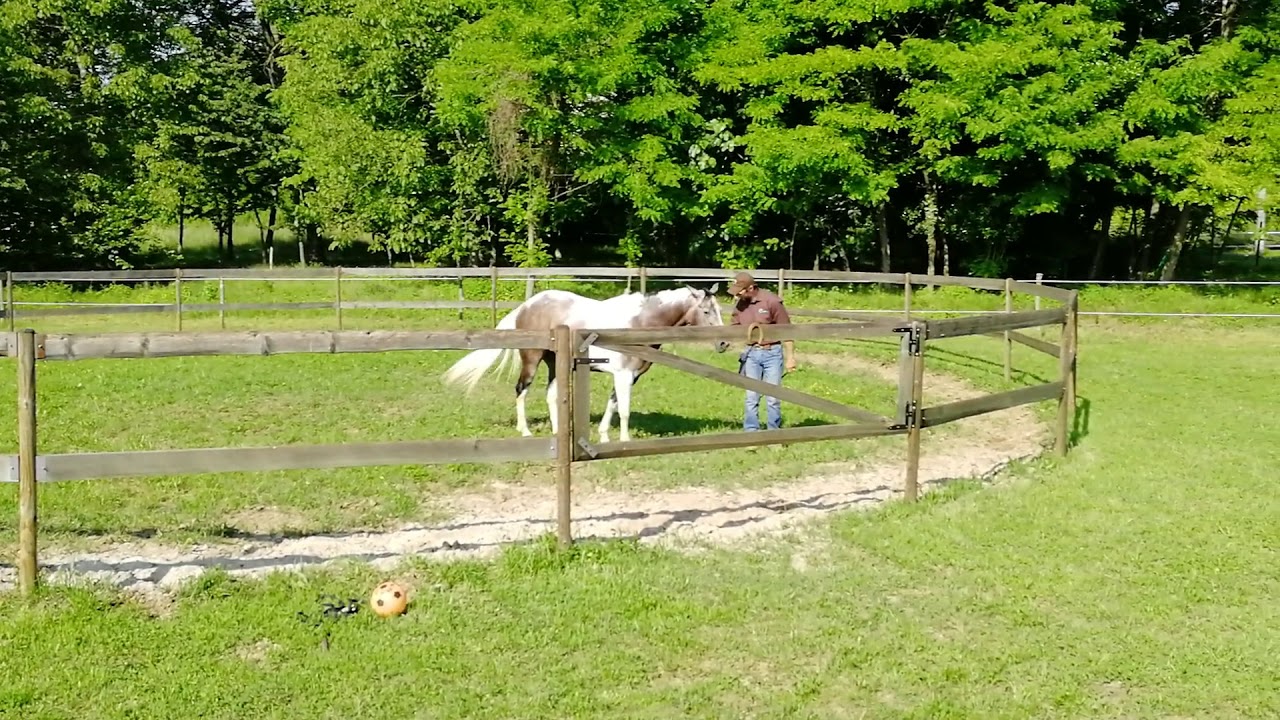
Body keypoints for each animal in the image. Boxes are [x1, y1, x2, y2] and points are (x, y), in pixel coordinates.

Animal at [441, 285, 730, 443]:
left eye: (718, 309)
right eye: (706, 311)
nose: (724, 343)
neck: (639, 322)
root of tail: (527, 305)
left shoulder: (629, 375)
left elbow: (613, 404)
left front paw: (603, 434)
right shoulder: (623, 374)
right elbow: (624, 409)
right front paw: (625, 439)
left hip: (555, 363)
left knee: (550, 395)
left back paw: (557, 431)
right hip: (532, 359)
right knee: (521, 390)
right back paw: (524, 431)